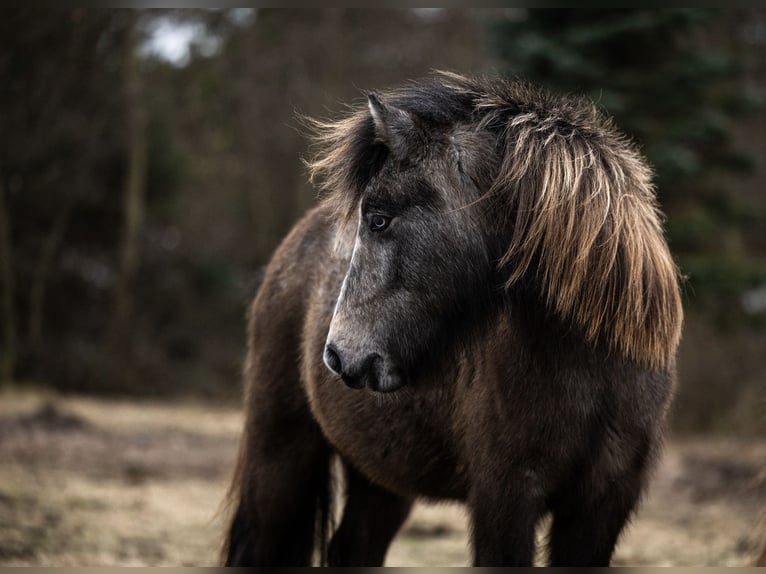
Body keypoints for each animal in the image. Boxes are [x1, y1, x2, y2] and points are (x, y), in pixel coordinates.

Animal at [221, 72, 683, 567]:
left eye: (379, 219)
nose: (338, 356)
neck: (592, 371)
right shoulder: (505, 499)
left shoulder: (602, 507)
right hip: (280, 455)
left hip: (380, 480)